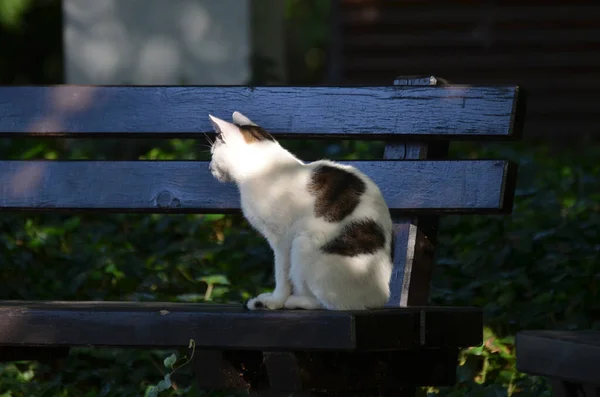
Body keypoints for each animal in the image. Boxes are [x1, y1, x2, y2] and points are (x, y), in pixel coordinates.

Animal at [207, 110, 394, 310]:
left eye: (212, 153)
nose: (209, 167)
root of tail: (381, 299)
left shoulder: (282, 239)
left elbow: (281, 273)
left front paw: (275, 301)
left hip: (303, 242)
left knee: (325, 303)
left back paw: (291, 301)